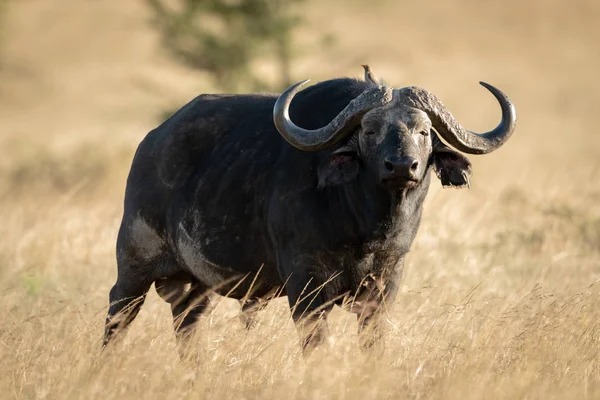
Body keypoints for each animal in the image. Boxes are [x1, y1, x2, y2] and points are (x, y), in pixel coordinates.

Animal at [103, 70, 516, 352]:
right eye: (369, 130)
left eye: (424, 131)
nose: (401, 166)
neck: (365, 226)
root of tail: (151, 143)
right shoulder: (307, 286)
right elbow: (315, 343)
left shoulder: (386, 283)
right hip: (134, 266)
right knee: (118, 315)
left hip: (198, 286)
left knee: (188, 325)